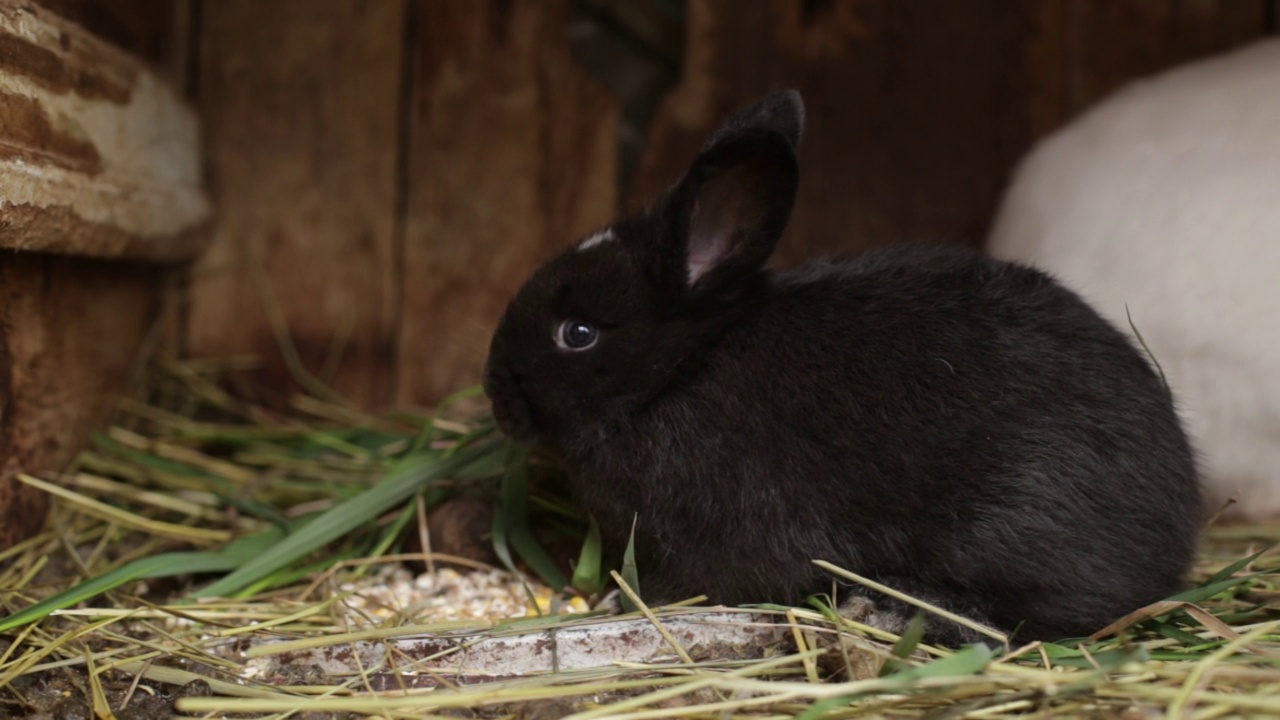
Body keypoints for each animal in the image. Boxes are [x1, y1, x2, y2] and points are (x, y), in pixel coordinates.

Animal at [483, 89, 1203, 645]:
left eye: (577, 334)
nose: (495, 393)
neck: (682, 369)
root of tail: (1177, 532)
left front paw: (619, 598)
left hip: (1010, 531)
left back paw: (889, 608)